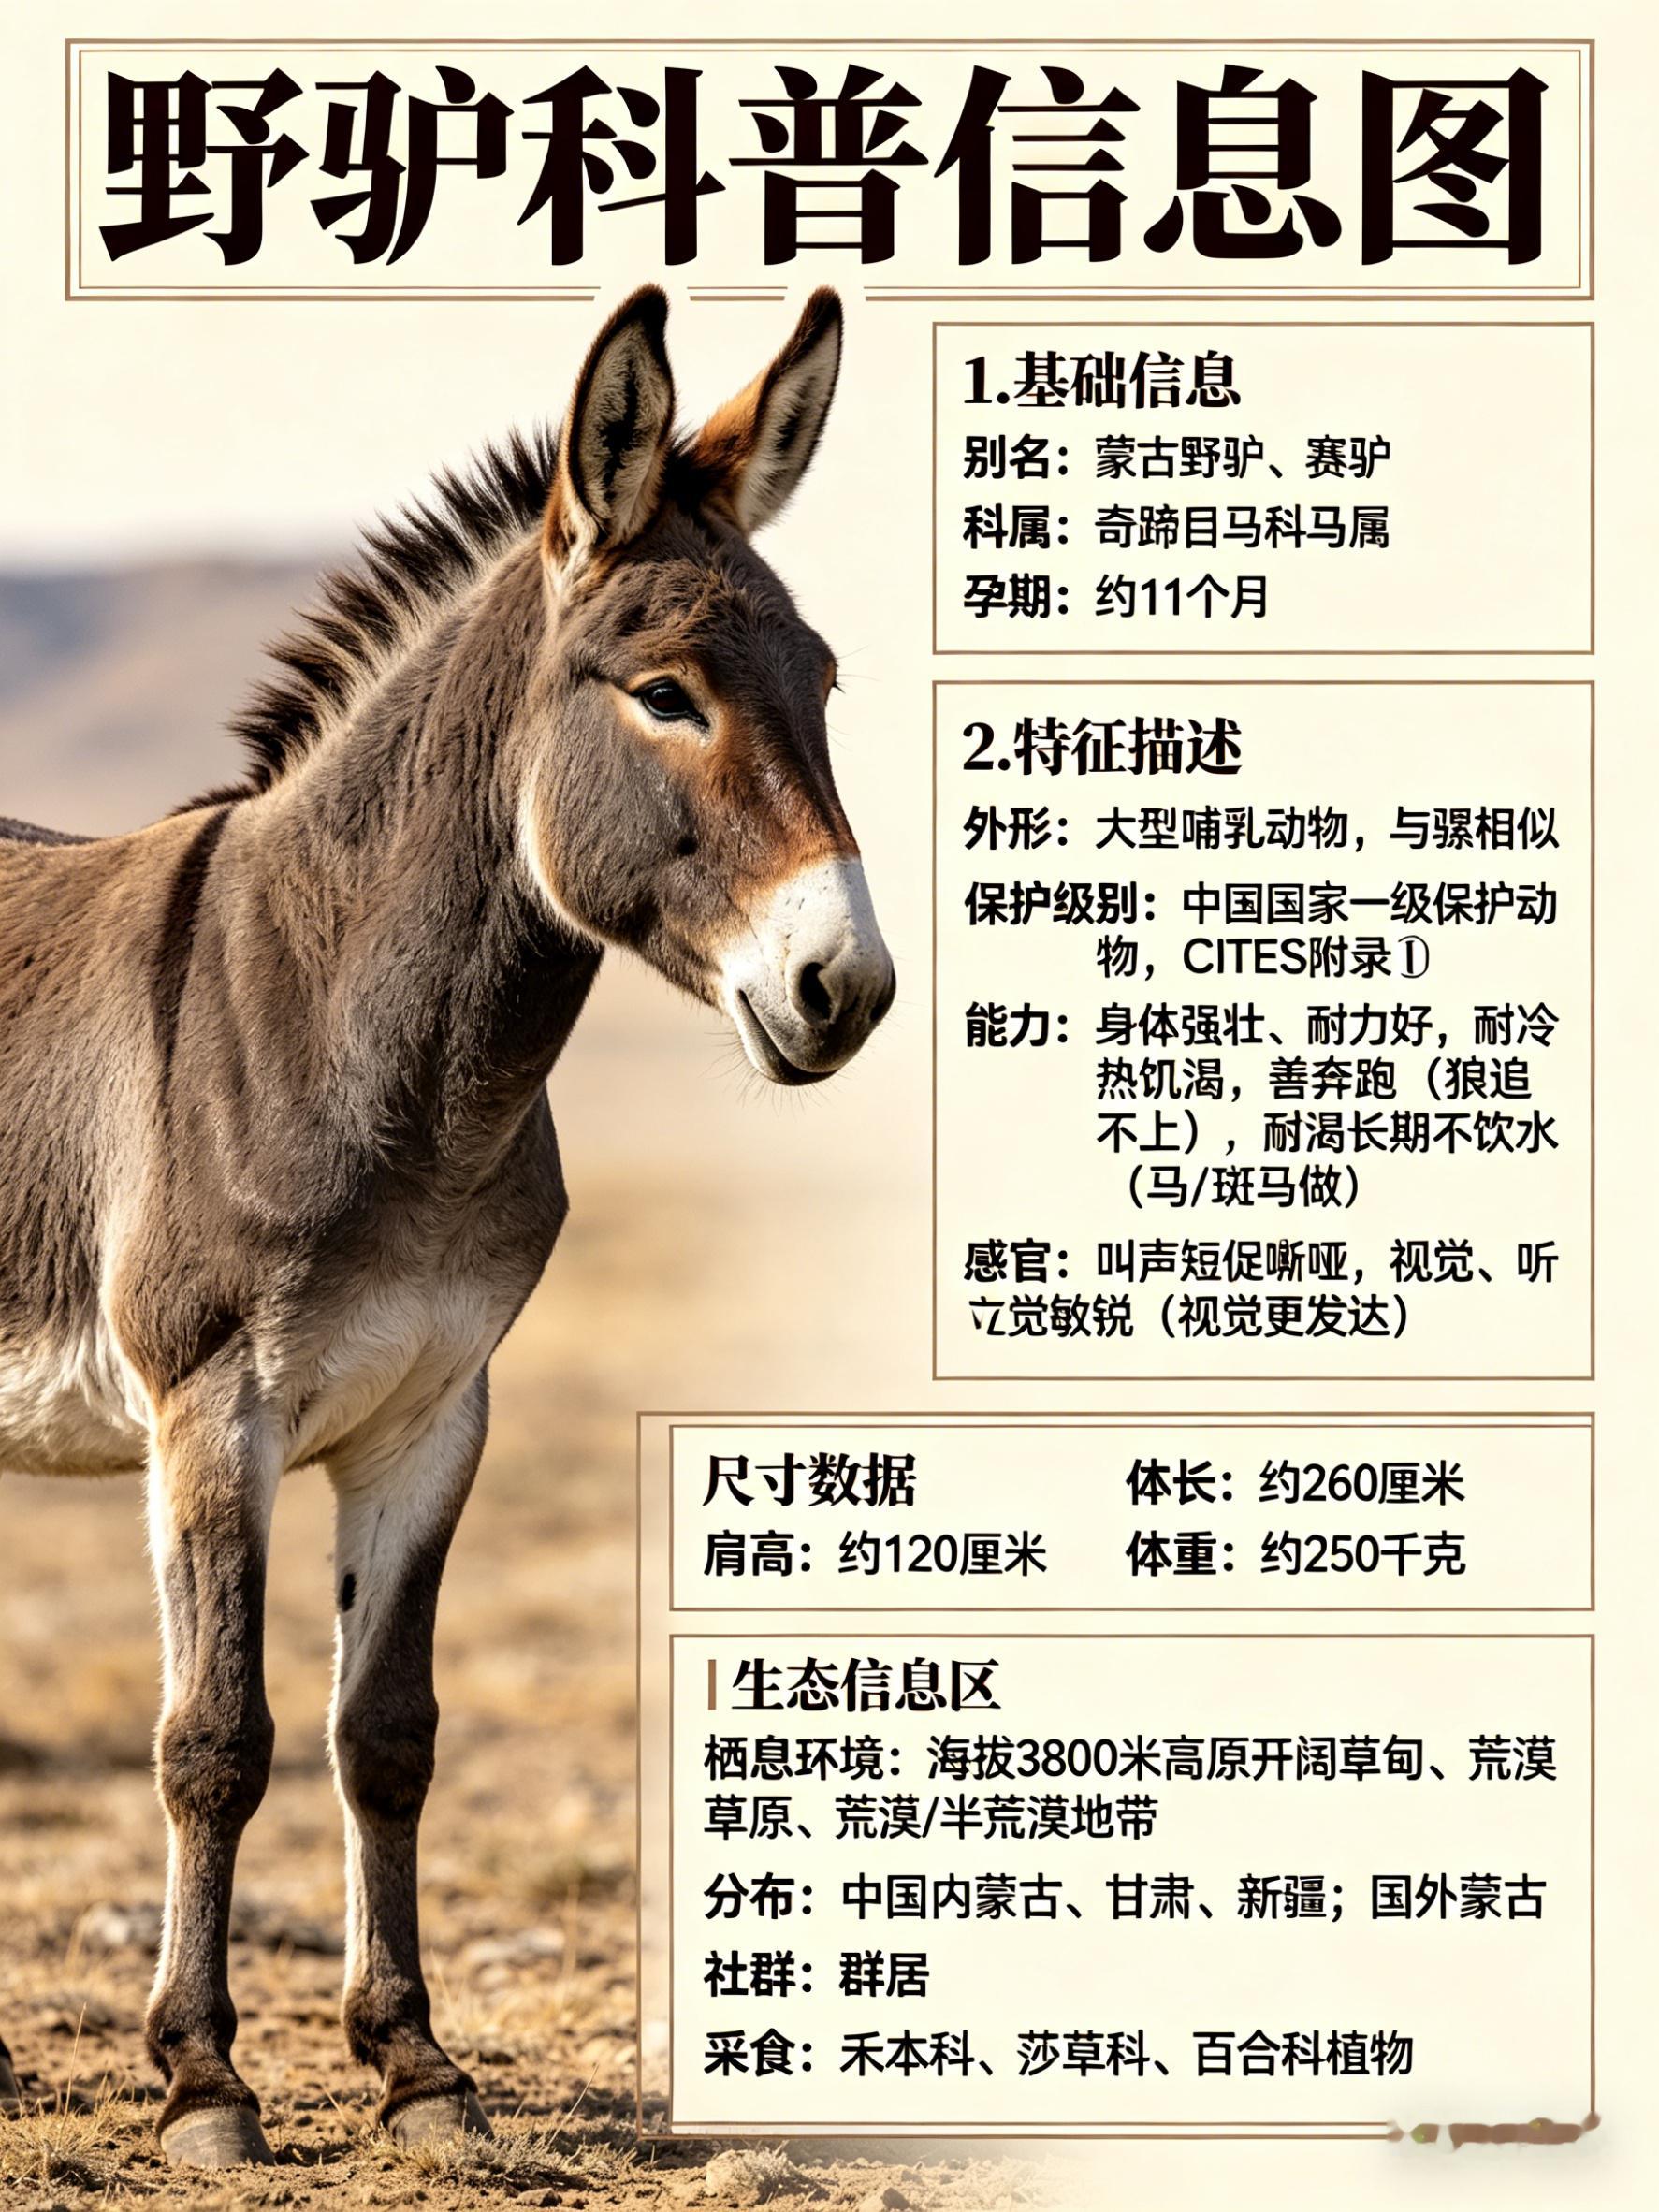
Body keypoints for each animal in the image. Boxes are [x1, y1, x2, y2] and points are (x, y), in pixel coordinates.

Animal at [0, 285, 892, 2167]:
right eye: (663, 694)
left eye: (824, 682)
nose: (842, 989)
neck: (376, 1048)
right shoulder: (215, 1407)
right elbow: (216, 1737)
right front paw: (205, 2081)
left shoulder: (434, 1410)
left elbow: (385, 1733)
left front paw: (415, 2065)